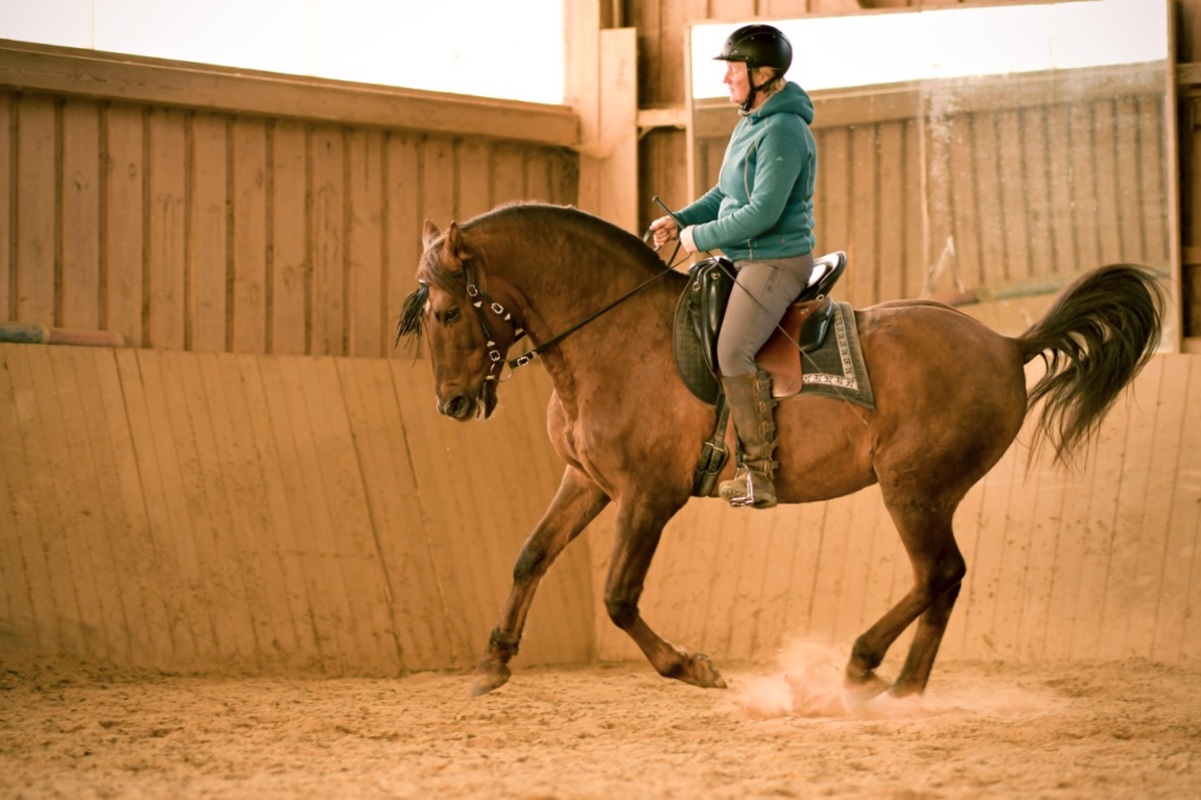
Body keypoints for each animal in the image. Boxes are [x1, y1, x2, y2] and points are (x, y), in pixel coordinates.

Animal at [396, 200, 1162, 696]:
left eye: (446, 311)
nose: (452, 404)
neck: (615, 336)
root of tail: (1006, 344)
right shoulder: (586, 482)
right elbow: (530, 557)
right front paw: (493, 662)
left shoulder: (648, 497)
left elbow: (617, 596)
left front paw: (691, 668)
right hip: (924, 493)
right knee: (941, 581)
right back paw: (901, 685)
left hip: (913, 489)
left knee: (939, 573)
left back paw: (869, 668)